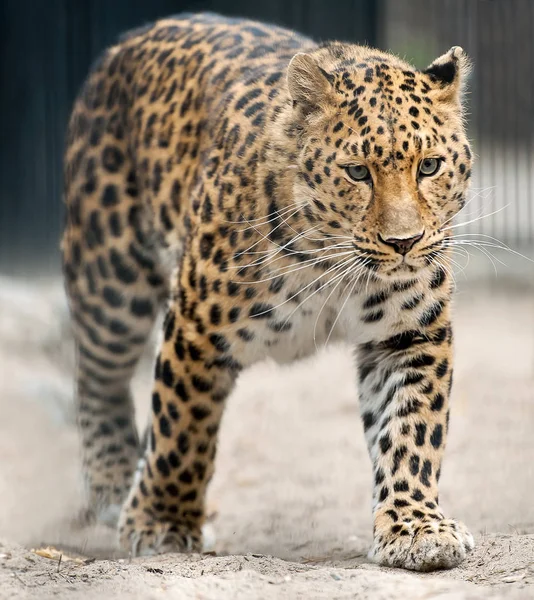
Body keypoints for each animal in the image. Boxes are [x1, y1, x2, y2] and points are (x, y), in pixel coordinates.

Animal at [61, 11, 478, 568]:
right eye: (357, 172)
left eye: (429, 166)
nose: (405, 243)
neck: (333, 266)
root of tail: (130, 38)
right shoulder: (195, 328)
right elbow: (180, 431)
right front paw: (161, 523)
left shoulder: (412, 336)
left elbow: (412, 432)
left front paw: (415, 527)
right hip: (110, 279)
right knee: (96, 376)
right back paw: (113, 485)